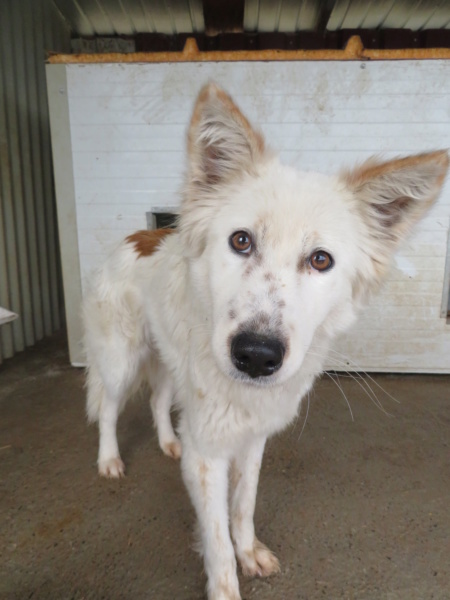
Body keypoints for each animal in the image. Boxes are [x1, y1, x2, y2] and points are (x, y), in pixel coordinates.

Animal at [83, 84, 446, 600]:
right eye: (240, 241)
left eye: (320, 260)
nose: (256, 356)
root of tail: (138, 234)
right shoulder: (209, 454)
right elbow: (216, 540)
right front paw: (226, 584)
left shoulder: (252, 438)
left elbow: (244, 504)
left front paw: (249, 551)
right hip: (120, 359)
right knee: (110, 408)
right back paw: (110, 460)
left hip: (169, 363)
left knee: (156, 399)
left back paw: (169, 442)